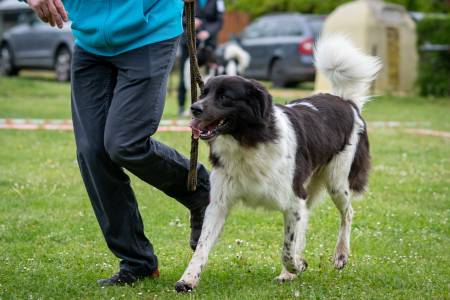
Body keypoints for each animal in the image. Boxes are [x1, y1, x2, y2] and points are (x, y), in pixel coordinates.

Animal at [176, 34, 380, 290]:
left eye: (225, 97)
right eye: (204, 93)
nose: (194, 108)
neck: (248, 142)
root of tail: (345, 101)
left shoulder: (293, 201)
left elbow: (287, 249)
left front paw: (297, 266)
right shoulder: (220, 203)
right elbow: (202, 246)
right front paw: (188, 279)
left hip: (336, 181)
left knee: (348, 213)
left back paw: (340, 254)